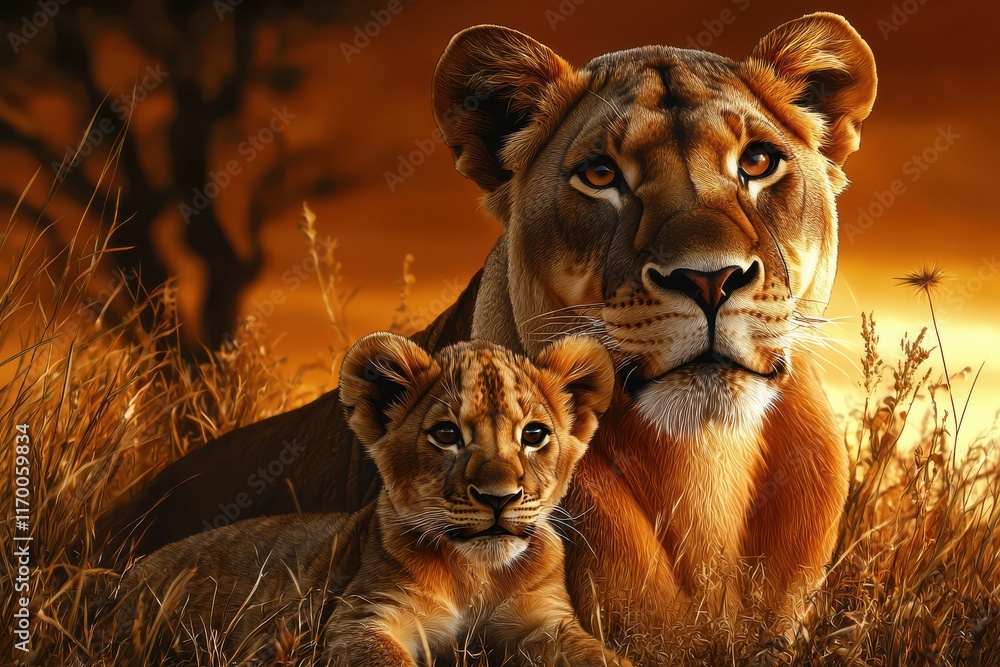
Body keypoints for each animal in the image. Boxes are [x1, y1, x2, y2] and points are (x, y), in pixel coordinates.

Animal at [99, 333, 628, 666]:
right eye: (446, 435)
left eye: (534, 435)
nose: (499, 498)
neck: (477, 574)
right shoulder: (361, 618)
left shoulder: (548, 623)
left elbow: (602, 657)